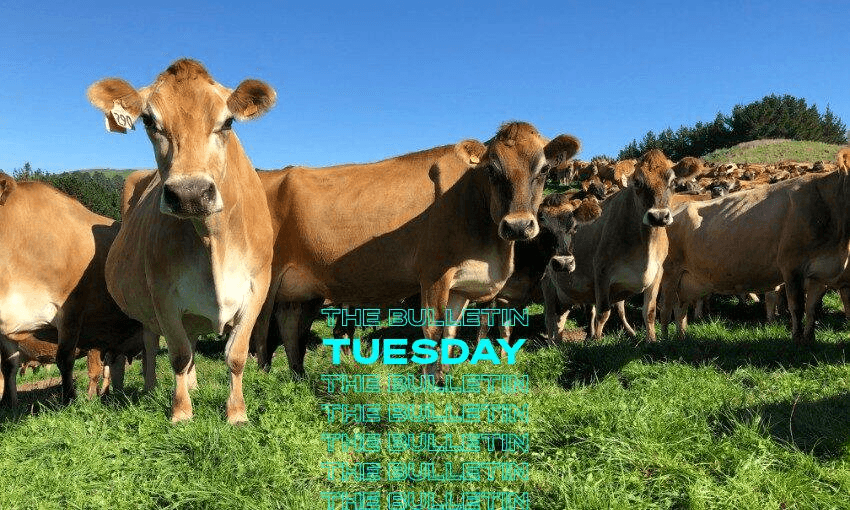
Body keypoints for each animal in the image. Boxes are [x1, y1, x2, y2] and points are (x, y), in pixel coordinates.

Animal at [87, 59, 275, 424]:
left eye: (228, 121)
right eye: (149, 121)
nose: (190, 193)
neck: (212, 238)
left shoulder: (257, 285)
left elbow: (235, 354)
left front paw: (236, 413)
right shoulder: (162, 292)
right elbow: (177, 354)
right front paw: (181, 412)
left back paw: (195, 385)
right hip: (145, 308)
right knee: (151, 343)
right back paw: (150, 389)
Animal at [251, 122, 581, 382]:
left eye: (544, 170)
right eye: (492, 170)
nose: (518, 226)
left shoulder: (461, 286)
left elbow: (450, 334)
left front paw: (443, 379)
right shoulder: (433, 274)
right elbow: (432, 331)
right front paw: (429, 383)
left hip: (300, 289)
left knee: (290, 329)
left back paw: (298, 379)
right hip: (264, 281)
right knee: (260, 336)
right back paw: (261, 385)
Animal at [542, 150, 702, 343]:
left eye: (672, 182)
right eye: (637, 182)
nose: (658, 216)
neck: (645, 248)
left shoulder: (657, 272)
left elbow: (649, 312)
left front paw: (651, 340)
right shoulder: (601, 271)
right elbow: (603, 313)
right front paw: (597, 342)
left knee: (564, 316)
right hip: (548, 284)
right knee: (550, 315)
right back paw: (553, 342)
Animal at [658, 147, 850, 343]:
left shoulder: (822, 273)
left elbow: (812, 310)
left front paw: (809, 339)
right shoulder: (791, 267)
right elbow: (797, 307)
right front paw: (797, 339)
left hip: (685, 280)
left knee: (680, 309)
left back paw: (681, 337)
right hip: (669, 272)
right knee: (665, 308)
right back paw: (663, 341)